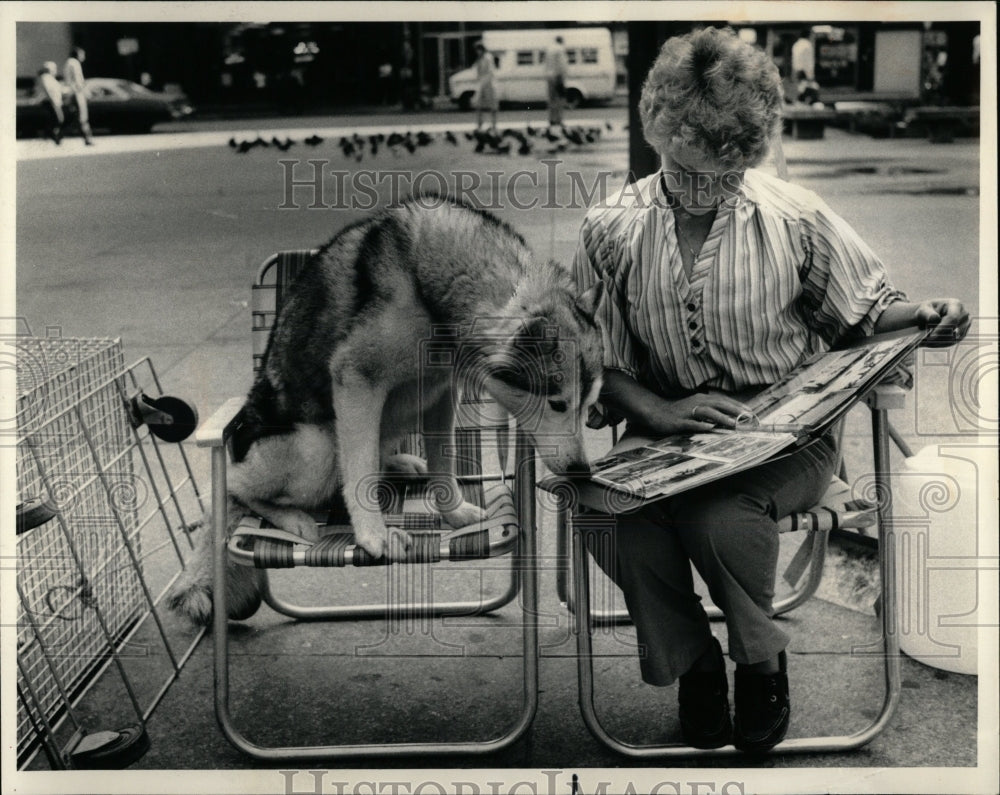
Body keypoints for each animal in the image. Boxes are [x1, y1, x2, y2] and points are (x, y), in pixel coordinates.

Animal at [169, 196, 604, 624]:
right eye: (558, 404)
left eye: (587, 406)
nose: (581, 471)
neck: (431, 283)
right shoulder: (357, 380)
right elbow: (359, 469)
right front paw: (372, 535)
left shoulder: (440, 390)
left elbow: (443, 462)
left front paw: (453, 511)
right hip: (315, 448)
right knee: (232, 489)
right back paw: (292, 517)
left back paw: (401, 464)